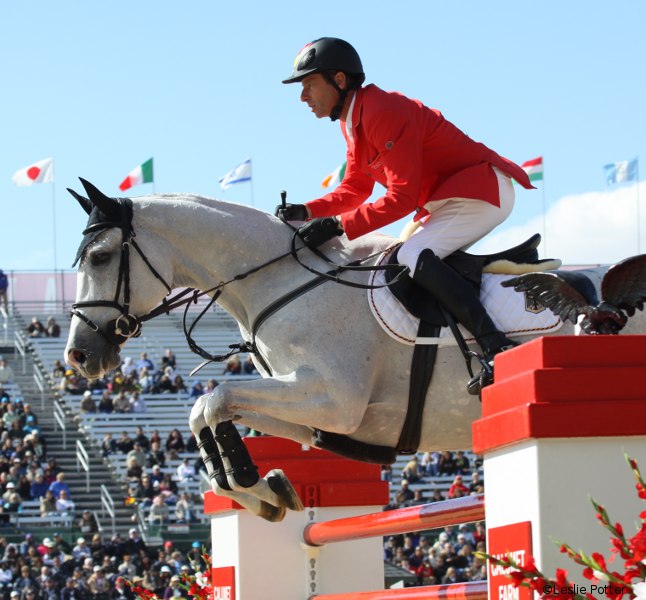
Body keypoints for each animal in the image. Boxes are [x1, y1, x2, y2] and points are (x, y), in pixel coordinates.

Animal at [63, 178, 644, 520]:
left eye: (100, 256)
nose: (78, 356)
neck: (281, 279)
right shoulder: (323, 415)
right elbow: (206, 411)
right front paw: (266, 490)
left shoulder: (331, 397)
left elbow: (213, 398)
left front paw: (249, 480)